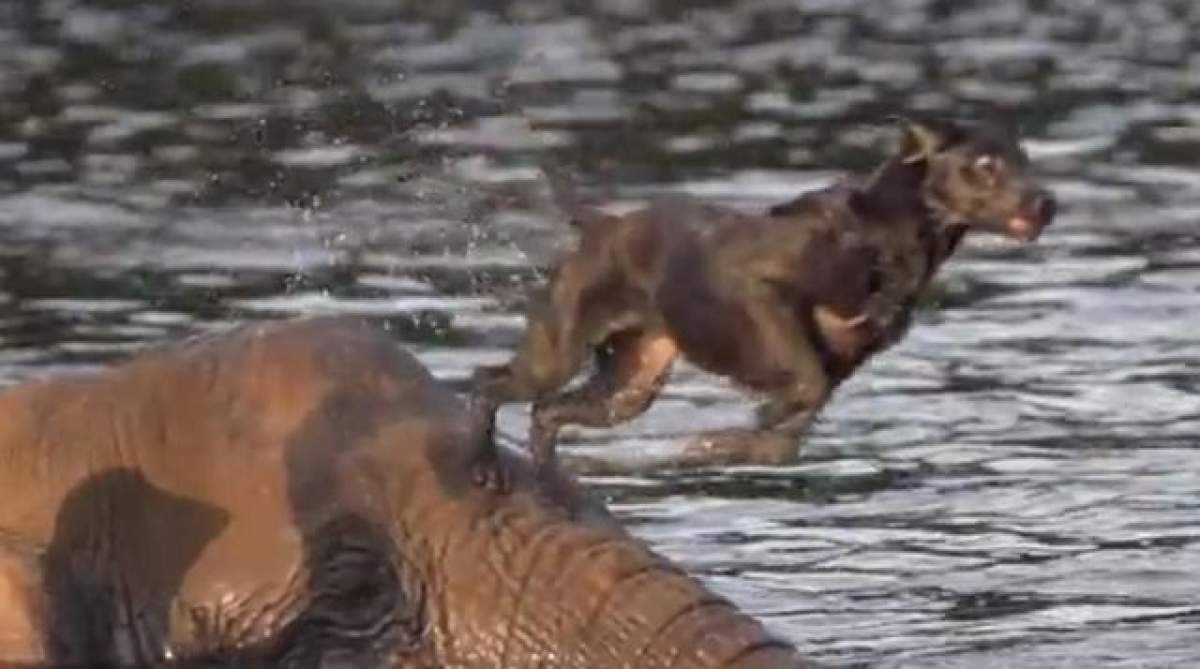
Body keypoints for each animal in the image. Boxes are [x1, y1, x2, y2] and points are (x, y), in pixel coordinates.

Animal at [472, 118, 1056, 479]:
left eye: (1025, 160)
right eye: (985, 164)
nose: (1047, 202)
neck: (886, 235)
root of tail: (600, 225)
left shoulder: (849, 360)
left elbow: (789, 434)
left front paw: (729, 444)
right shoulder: (760, 290)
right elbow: (802, 383)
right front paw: (745, 426)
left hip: (630, 384)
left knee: (547, 412)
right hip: (559, 351)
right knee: (489, 382)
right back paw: (483, 461)